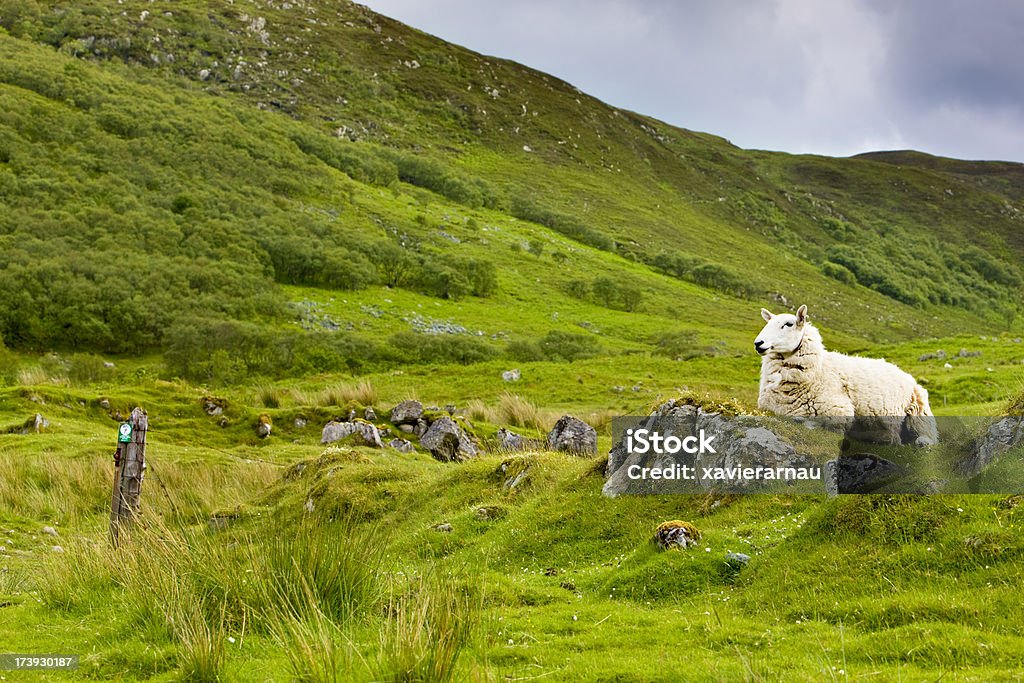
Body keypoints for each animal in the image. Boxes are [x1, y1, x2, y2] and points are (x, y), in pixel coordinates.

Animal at [753, 305, 937, 446]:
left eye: (789, 324)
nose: (758, 343)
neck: (818, 371)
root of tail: (901, 371)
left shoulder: (839, 411)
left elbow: (814, 422)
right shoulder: (769, 408)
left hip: (919, 409)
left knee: (927, 433)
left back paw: (922, 442)